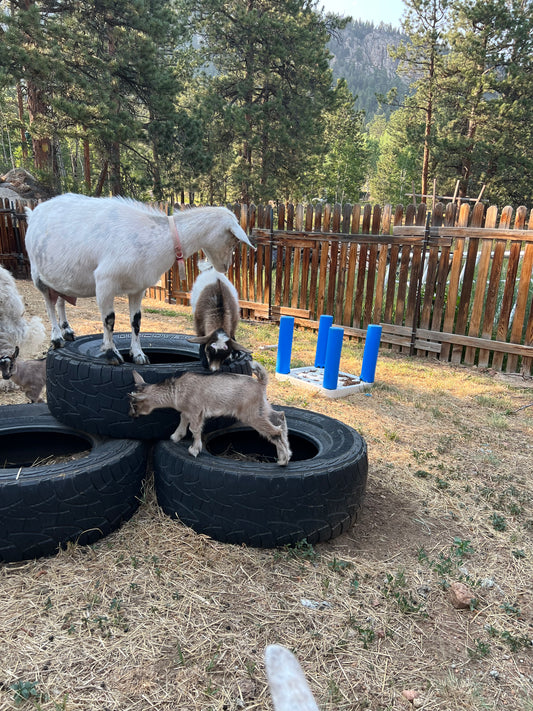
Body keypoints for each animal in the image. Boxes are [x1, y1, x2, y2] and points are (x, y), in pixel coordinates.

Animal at [24, 194, 255, 365]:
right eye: (234, 240)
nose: (225, 267)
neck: (160, 237)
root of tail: (33, 212)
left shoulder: (137, 287)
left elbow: (136, 321)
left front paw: (139, 355)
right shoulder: (105, 282)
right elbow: (109, 320)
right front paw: (112, 353)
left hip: (62, 276)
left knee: (60, 300)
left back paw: (67, 330)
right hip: (37, 274)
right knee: (48, 303)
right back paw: (56, 338)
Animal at [129, 361, 291, 465]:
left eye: (134, 404)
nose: (131, 415)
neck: (175, 391)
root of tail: (260, 383)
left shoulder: (196, 410)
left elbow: (194, 429)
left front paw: (194, 450)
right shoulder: (187, 411)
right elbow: (183, 419)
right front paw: (176, 436)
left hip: (251, 414)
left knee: (275, 431)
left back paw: (283, 461)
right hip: (262, 408)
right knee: (280, 417)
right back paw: (286, 454)